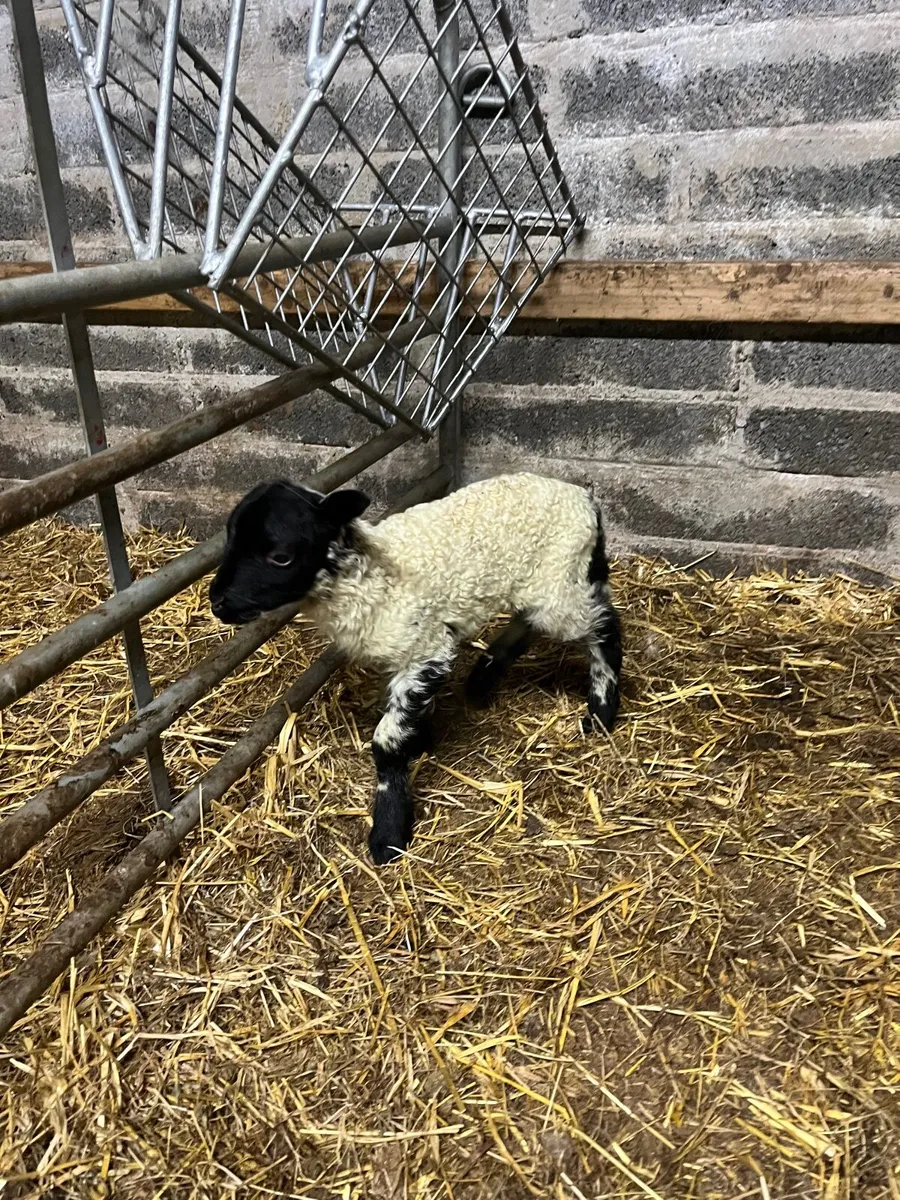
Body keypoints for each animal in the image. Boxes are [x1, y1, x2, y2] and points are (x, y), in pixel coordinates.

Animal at [209, 472, 622, 865]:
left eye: (280, 556)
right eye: (229, 537)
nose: (218, 603)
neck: (374, 581)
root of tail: (585, 498)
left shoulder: (426, 650)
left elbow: (387, 740)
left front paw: (389, 832)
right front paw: (421, 739)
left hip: (562, 582)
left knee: (606, 624)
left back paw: (602, 711)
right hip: (545, 586)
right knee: (529, 622)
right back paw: (482, 679)